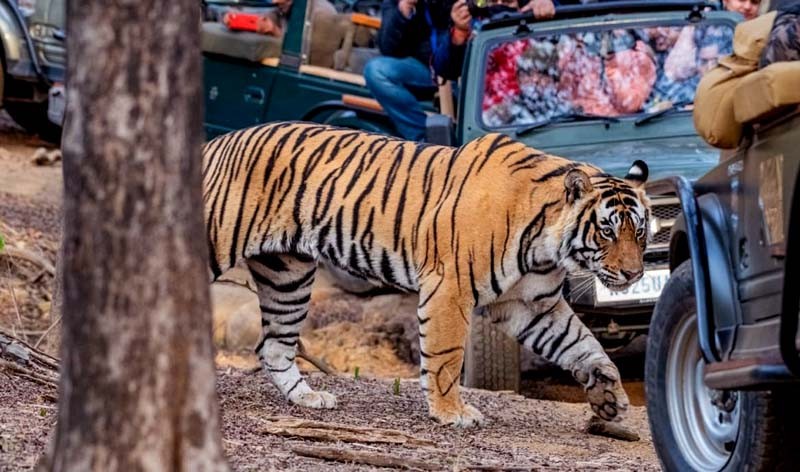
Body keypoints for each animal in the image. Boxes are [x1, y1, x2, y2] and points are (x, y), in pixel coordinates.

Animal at [203, 121, 650, 428]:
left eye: (640, 231)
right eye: (607, 230)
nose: (634, 273)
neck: (545, 246)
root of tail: (214, 142)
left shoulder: (531, 303)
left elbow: (582, 343)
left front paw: (609, 394)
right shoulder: (450, 288)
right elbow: (445, 355)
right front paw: (452, 412)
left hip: (289, 275)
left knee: (273, 347)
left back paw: (308, 399)